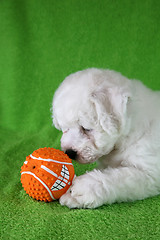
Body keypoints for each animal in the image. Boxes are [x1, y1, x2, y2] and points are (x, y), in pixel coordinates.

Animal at [52, 67, 160, 208]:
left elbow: (117, 178)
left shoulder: (150, 172)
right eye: (65, 129)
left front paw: (82, 189)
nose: (69, 152)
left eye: (86, 128)